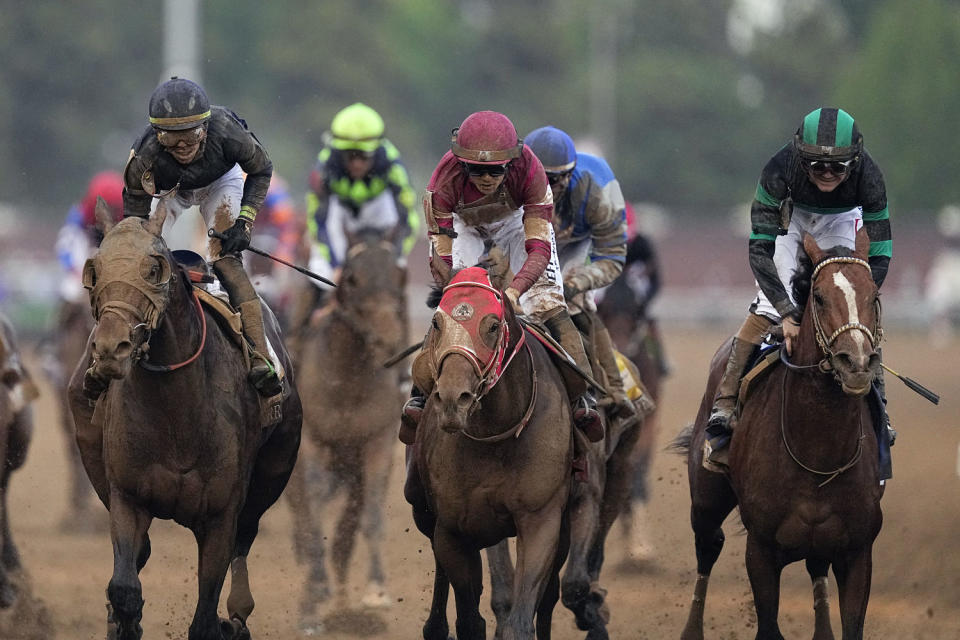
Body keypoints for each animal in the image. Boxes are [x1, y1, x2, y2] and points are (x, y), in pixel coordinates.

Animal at [66, 201, 300, 640]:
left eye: (154, 269)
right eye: (94, 270)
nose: (110, 348)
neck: (175, 414)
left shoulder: (220, 515)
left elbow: (205, 618)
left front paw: (225, 622)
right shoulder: (128, 498)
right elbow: (125, 588)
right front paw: (124, 621)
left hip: (273, 474)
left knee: (246, 539)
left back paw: (238, 615)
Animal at [284, 228, 406, 628]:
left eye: (399, 274)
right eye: (351, 278)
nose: (387, 337)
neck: (346, 385)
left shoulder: (377, 441)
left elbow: (369, 517)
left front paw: (376, 590)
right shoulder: (312, 442)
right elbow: (314, 511)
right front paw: (314, 592)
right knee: (303, 514)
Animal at [404, 264, 572, 640]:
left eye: (493, 326)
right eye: (437, 322)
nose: (453, 399)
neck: (495, 438)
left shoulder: (542, 518)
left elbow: (522, 617)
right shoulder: (453, 529)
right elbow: (469, 618)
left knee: (549, 598)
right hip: (424, 511)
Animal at [680, 229, 880, 640]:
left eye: (873, 296)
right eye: (818, 296)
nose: (855, 363)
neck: (818, 451)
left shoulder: (857, 552)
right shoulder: (761, 550)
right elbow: (768, 626)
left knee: (816, 569)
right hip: (706, 499)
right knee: (708, 546)